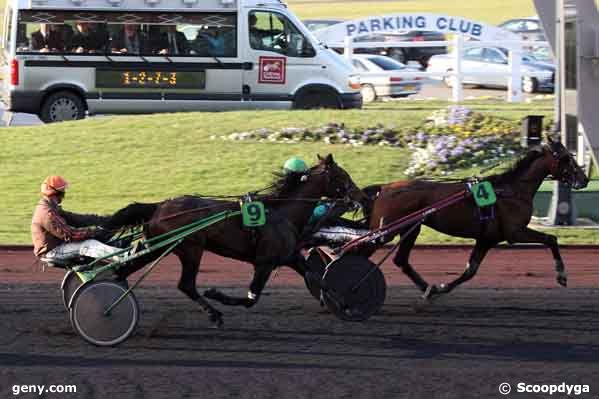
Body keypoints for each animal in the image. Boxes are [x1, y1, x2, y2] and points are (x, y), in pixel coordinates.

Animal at [103, 155, 366, 326]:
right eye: (342, 175)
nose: (361, 196)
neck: (283, 213)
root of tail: (160, 206)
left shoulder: (291, 257)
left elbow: (319, 279)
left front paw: (346, 303)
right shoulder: (264, 263)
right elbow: (251, 298)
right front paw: (216, 294)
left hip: (160, 246)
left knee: (126, 269)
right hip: (190, 248)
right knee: (185, 284)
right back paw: (213, 313)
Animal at [364, 140, 588, 300]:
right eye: (566, 158)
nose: (584, 179)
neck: (511, 190)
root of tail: (384, 188)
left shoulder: (487, 239)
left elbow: (470, 271)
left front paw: (438, 289)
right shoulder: (515, 232)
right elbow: (551, 239)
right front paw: (561, 275)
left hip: (411, 228)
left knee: (401, 260)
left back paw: (425, 286)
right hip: (387, 231)